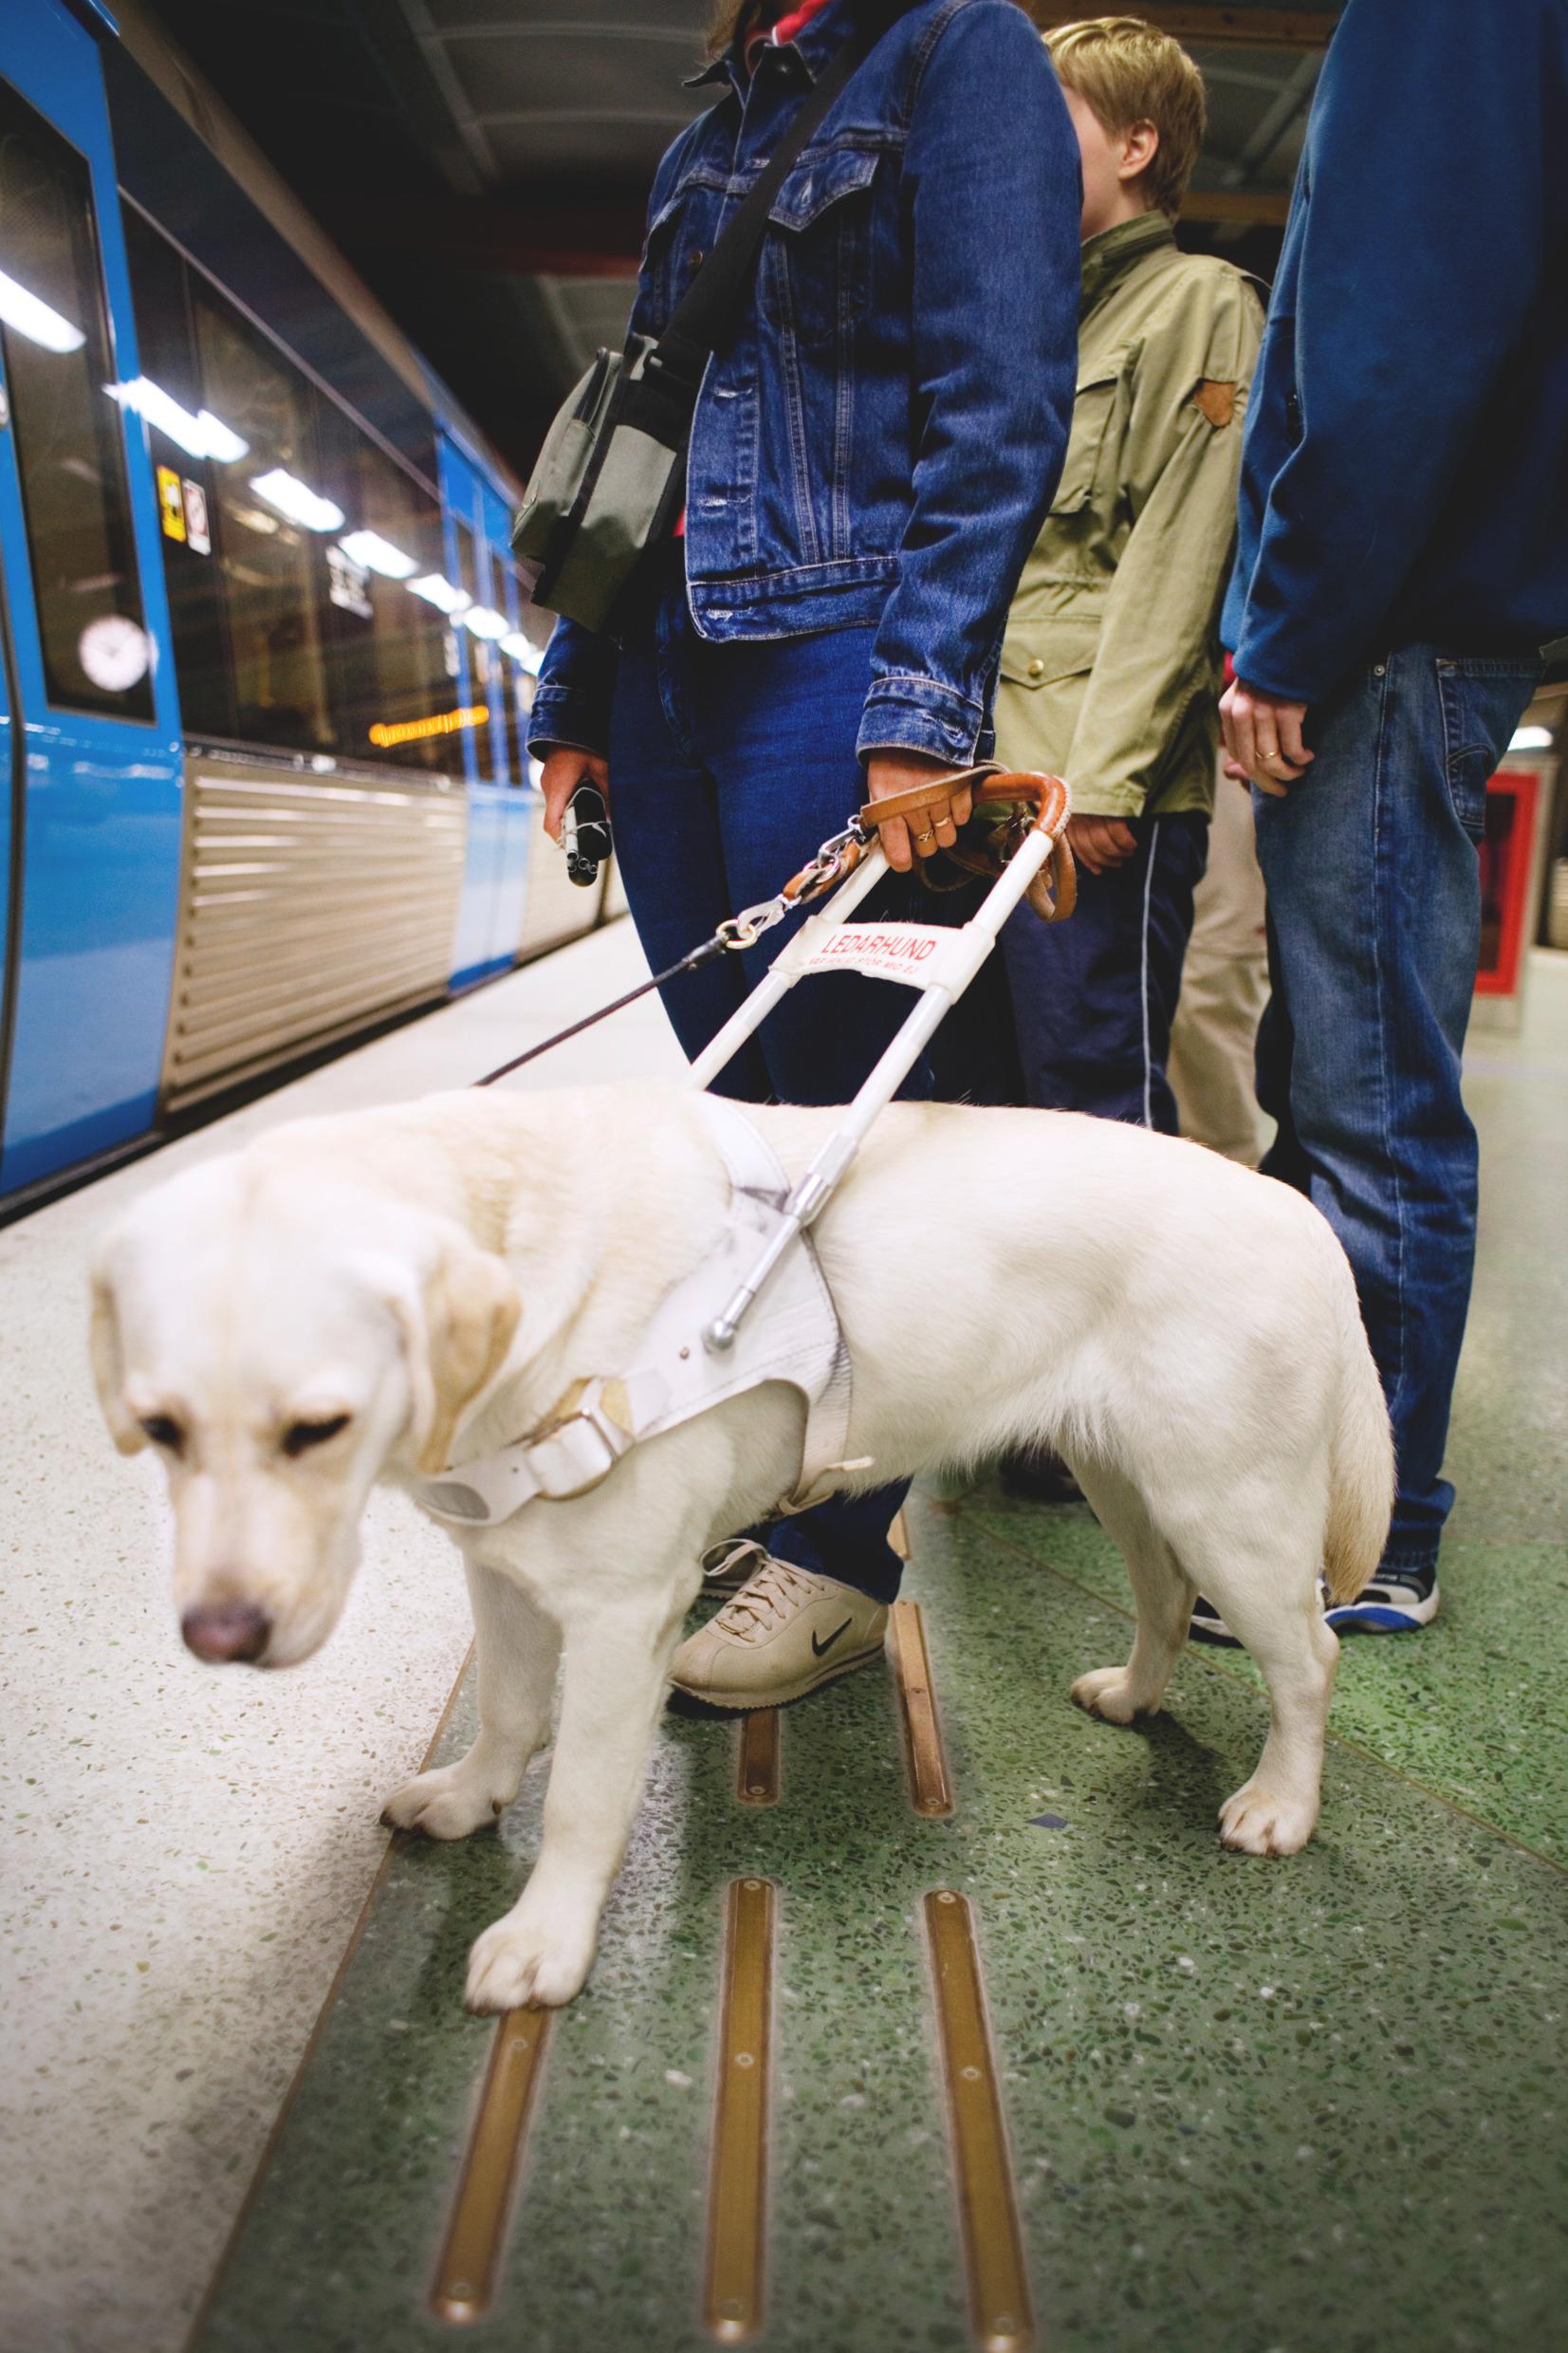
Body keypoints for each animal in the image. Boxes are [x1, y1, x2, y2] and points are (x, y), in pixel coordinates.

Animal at [88, 776, 1382, 2004]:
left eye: (320, 1426)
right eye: (160, 1427)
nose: (219, 1636)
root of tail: (1298, 1213)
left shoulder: (621, 1617)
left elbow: (582, 1793)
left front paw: (546, 1941)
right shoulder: (502, 1575)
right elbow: (507, 1709)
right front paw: (467, 1798)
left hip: (1234, 1508)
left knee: (1307, 1661)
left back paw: (1282, 1802)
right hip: (1131, 1477)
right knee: (1163, 1594)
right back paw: (1135, 1694)